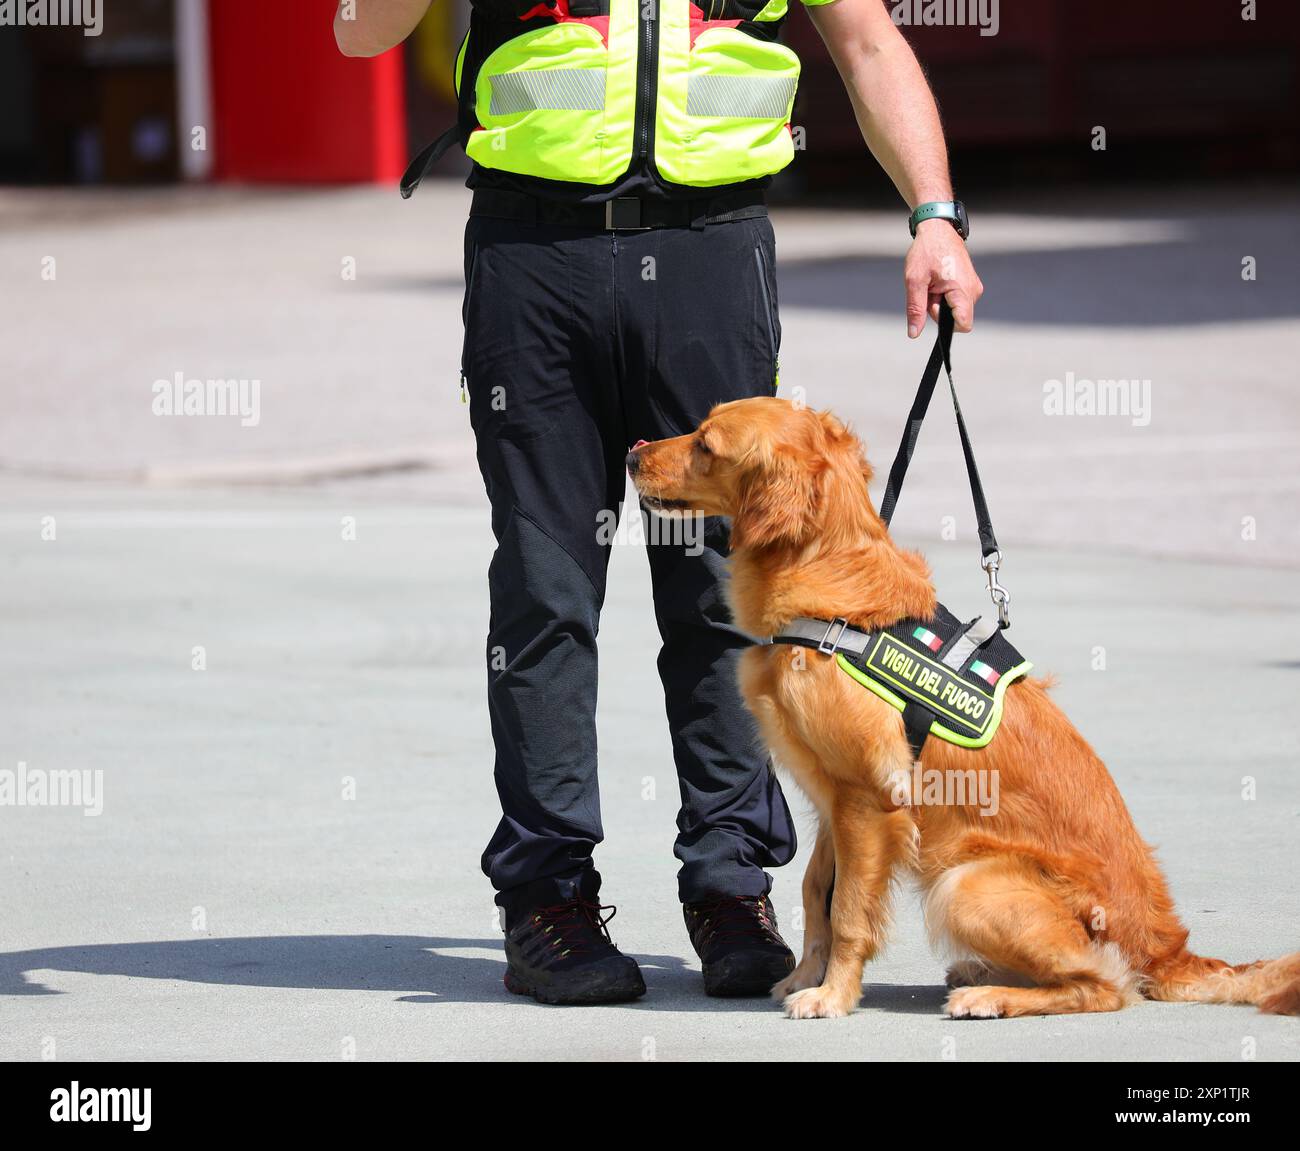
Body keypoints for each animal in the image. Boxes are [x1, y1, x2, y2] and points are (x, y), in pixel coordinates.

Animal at [624, 400, 1294, 1019]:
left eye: (706, 444)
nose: (632, 454)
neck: (830, 590)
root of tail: (1167, 950)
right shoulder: (832, 802)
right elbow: (817, 894)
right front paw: (803, 979)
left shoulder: (869, 800)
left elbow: (848, 913)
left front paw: (833, 996)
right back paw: (979, 973)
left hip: (964, 882)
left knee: (1106, 987)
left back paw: (989, 995)